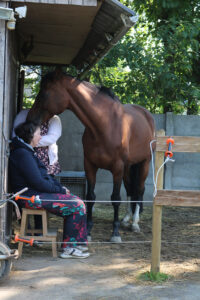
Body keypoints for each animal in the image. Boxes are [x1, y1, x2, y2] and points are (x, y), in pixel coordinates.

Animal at [27, 69, 156, 241]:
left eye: (45, 93)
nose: (29, 120)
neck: (105, 125)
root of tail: (147, 115)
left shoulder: (117, 168)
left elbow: (116, 198)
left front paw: (115, 234)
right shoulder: (90, 165)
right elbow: (91, 196)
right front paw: (88, 231)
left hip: (144, 163)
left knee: (140, 189)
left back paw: (134, 223)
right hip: (129, 167)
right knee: (130, 190)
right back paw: (126, 220)